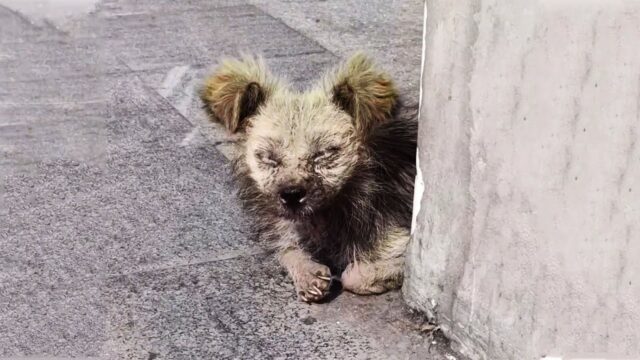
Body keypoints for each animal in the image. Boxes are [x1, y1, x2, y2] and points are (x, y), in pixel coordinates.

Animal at [202, 52, 418, 302]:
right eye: (269, 158)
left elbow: (354, 275)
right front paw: (307, 273)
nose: (291, 195)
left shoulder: (404, 243)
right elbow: (288, 249)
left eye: (323, 154)